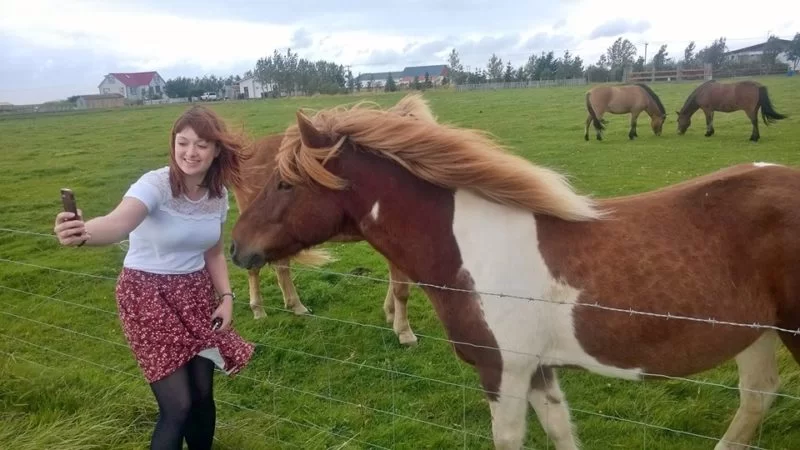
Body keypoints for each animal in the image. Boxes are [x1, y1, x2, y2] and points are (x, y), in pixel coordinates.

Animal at [228, 92, 438, 344]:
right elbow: (401, 289)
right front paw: (404, 331)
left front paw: (390, 315)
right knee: (254, 270)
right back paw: (258, 309)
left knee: (281, 268)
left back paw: (296, 306)